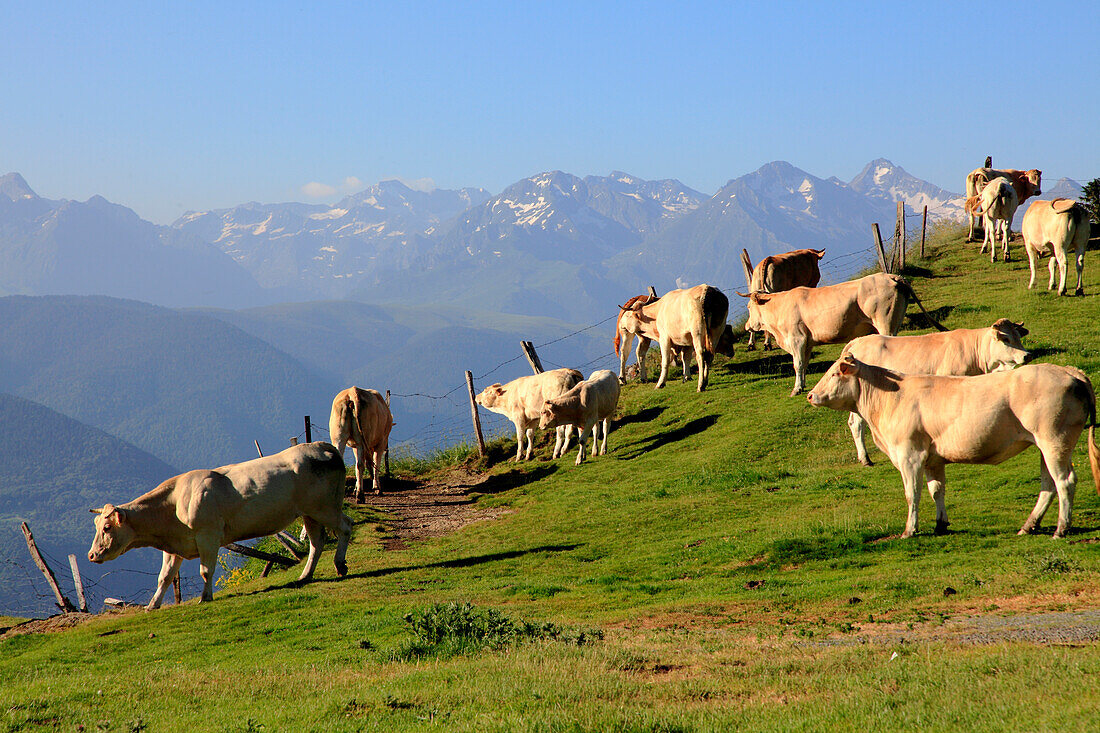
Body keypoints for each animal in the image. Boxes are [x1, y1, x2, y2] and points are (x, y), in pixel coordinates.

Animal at [88, 442, 349, 607]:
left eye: (107, 528)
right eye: (97, 526)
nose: (91, 555)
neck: (173, 503)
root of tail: (321, 445)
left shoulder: (208, 535)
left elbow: (205, 571)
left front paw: (206, 597)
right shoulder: (174, 546)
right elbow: (165, 576)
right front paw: (152, 605)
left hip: (324, 507)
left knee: (345, 526)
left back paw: (340, 565)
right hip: (309, 513)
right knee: (317, 542)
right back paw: (306, 575)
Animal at [739, 270, 946, 394]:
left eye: (748, 307)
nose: (746, 326)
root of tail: (891, 275)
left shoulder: (797, 339)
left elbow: (797, 364)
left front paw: (796, 389)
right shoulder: (807, 342)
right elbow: (804, 364)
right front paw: (803, 384)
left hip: (884, 322)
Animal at [840, 319, 1029, 462]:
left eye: (1018, 336)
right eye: (1006, 339)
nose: (1028, 355)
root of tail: (858, 340)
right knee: (856, 423)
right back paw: (865, 458)